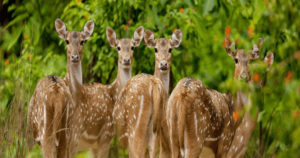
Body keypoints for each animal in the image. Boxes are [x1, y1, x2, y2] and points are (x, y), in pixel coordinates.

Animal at [27, 17, 95, 157]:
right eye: (66, 40)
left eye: (82, 41)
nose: (74, 56)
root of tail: (56, 95)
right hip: (61, 134)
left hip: (48, 132)